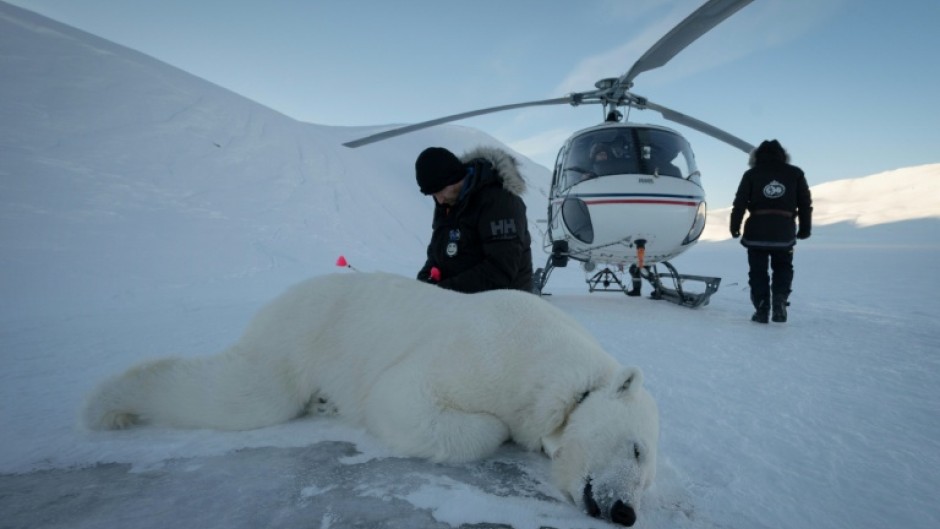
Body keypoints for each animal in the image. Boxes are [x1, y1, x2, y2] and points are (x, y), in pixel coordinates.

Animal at [82, 272, 659, 526]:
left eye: (648, 480)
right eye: (636, 449)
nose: (626, 512)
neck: (560, 370)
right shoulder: (489, 354)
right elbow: (406, 399)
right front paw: (500, 432)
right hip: (302, 336)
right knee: (246, 394)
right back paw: (108, 403)